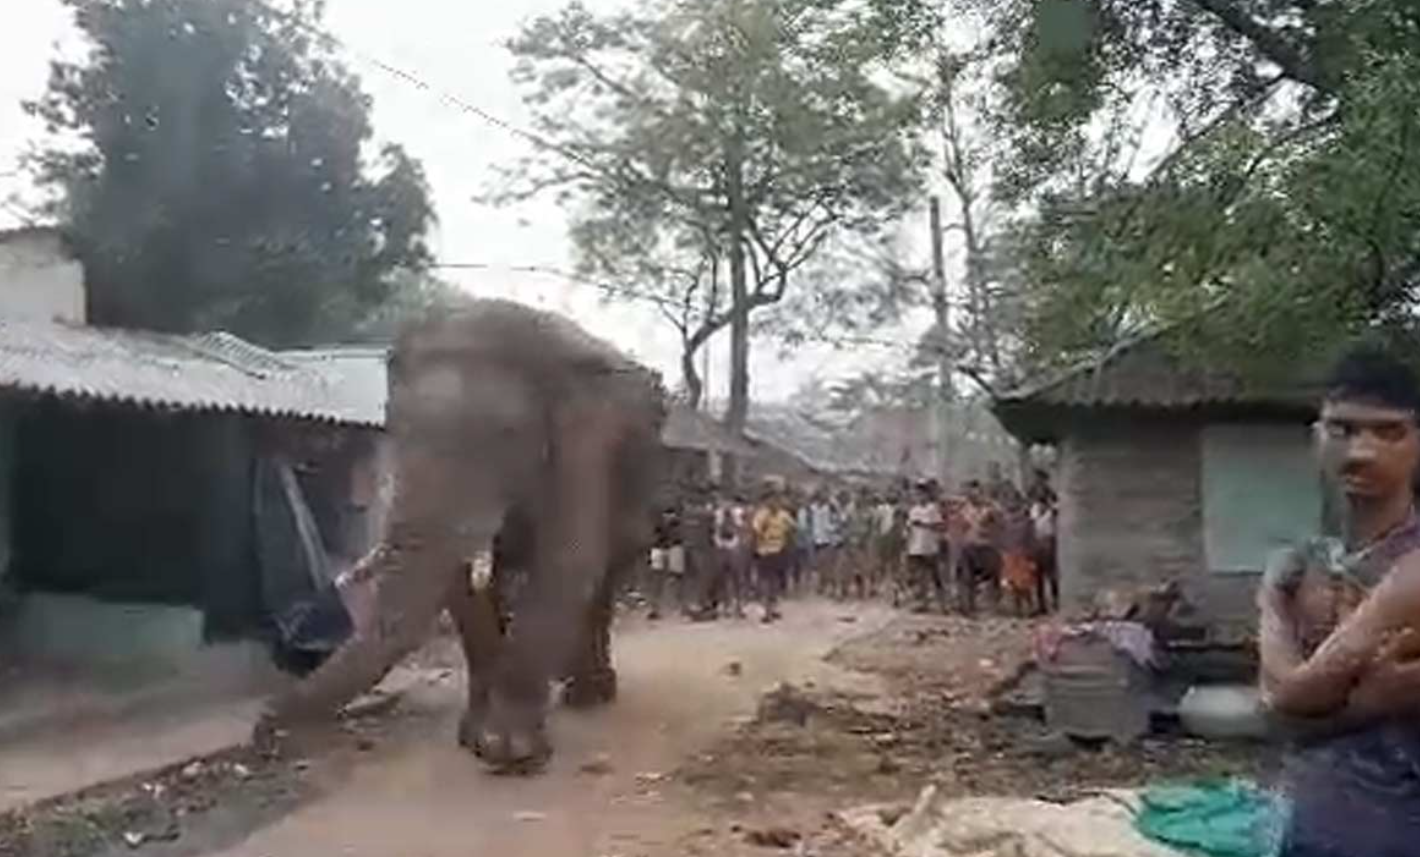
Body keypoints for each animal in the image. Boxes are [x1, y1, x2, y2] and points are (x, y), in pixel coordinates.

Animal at [258, 299, 666, 772]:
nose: (264, 732)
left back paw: (588, 694)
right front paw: (474, 739)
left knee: (603, 579)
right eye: (395, 430)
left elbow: (566, 558)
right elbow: (463, 589)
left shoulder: (588, 444)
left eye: (507, 436)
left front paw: (510, 753)